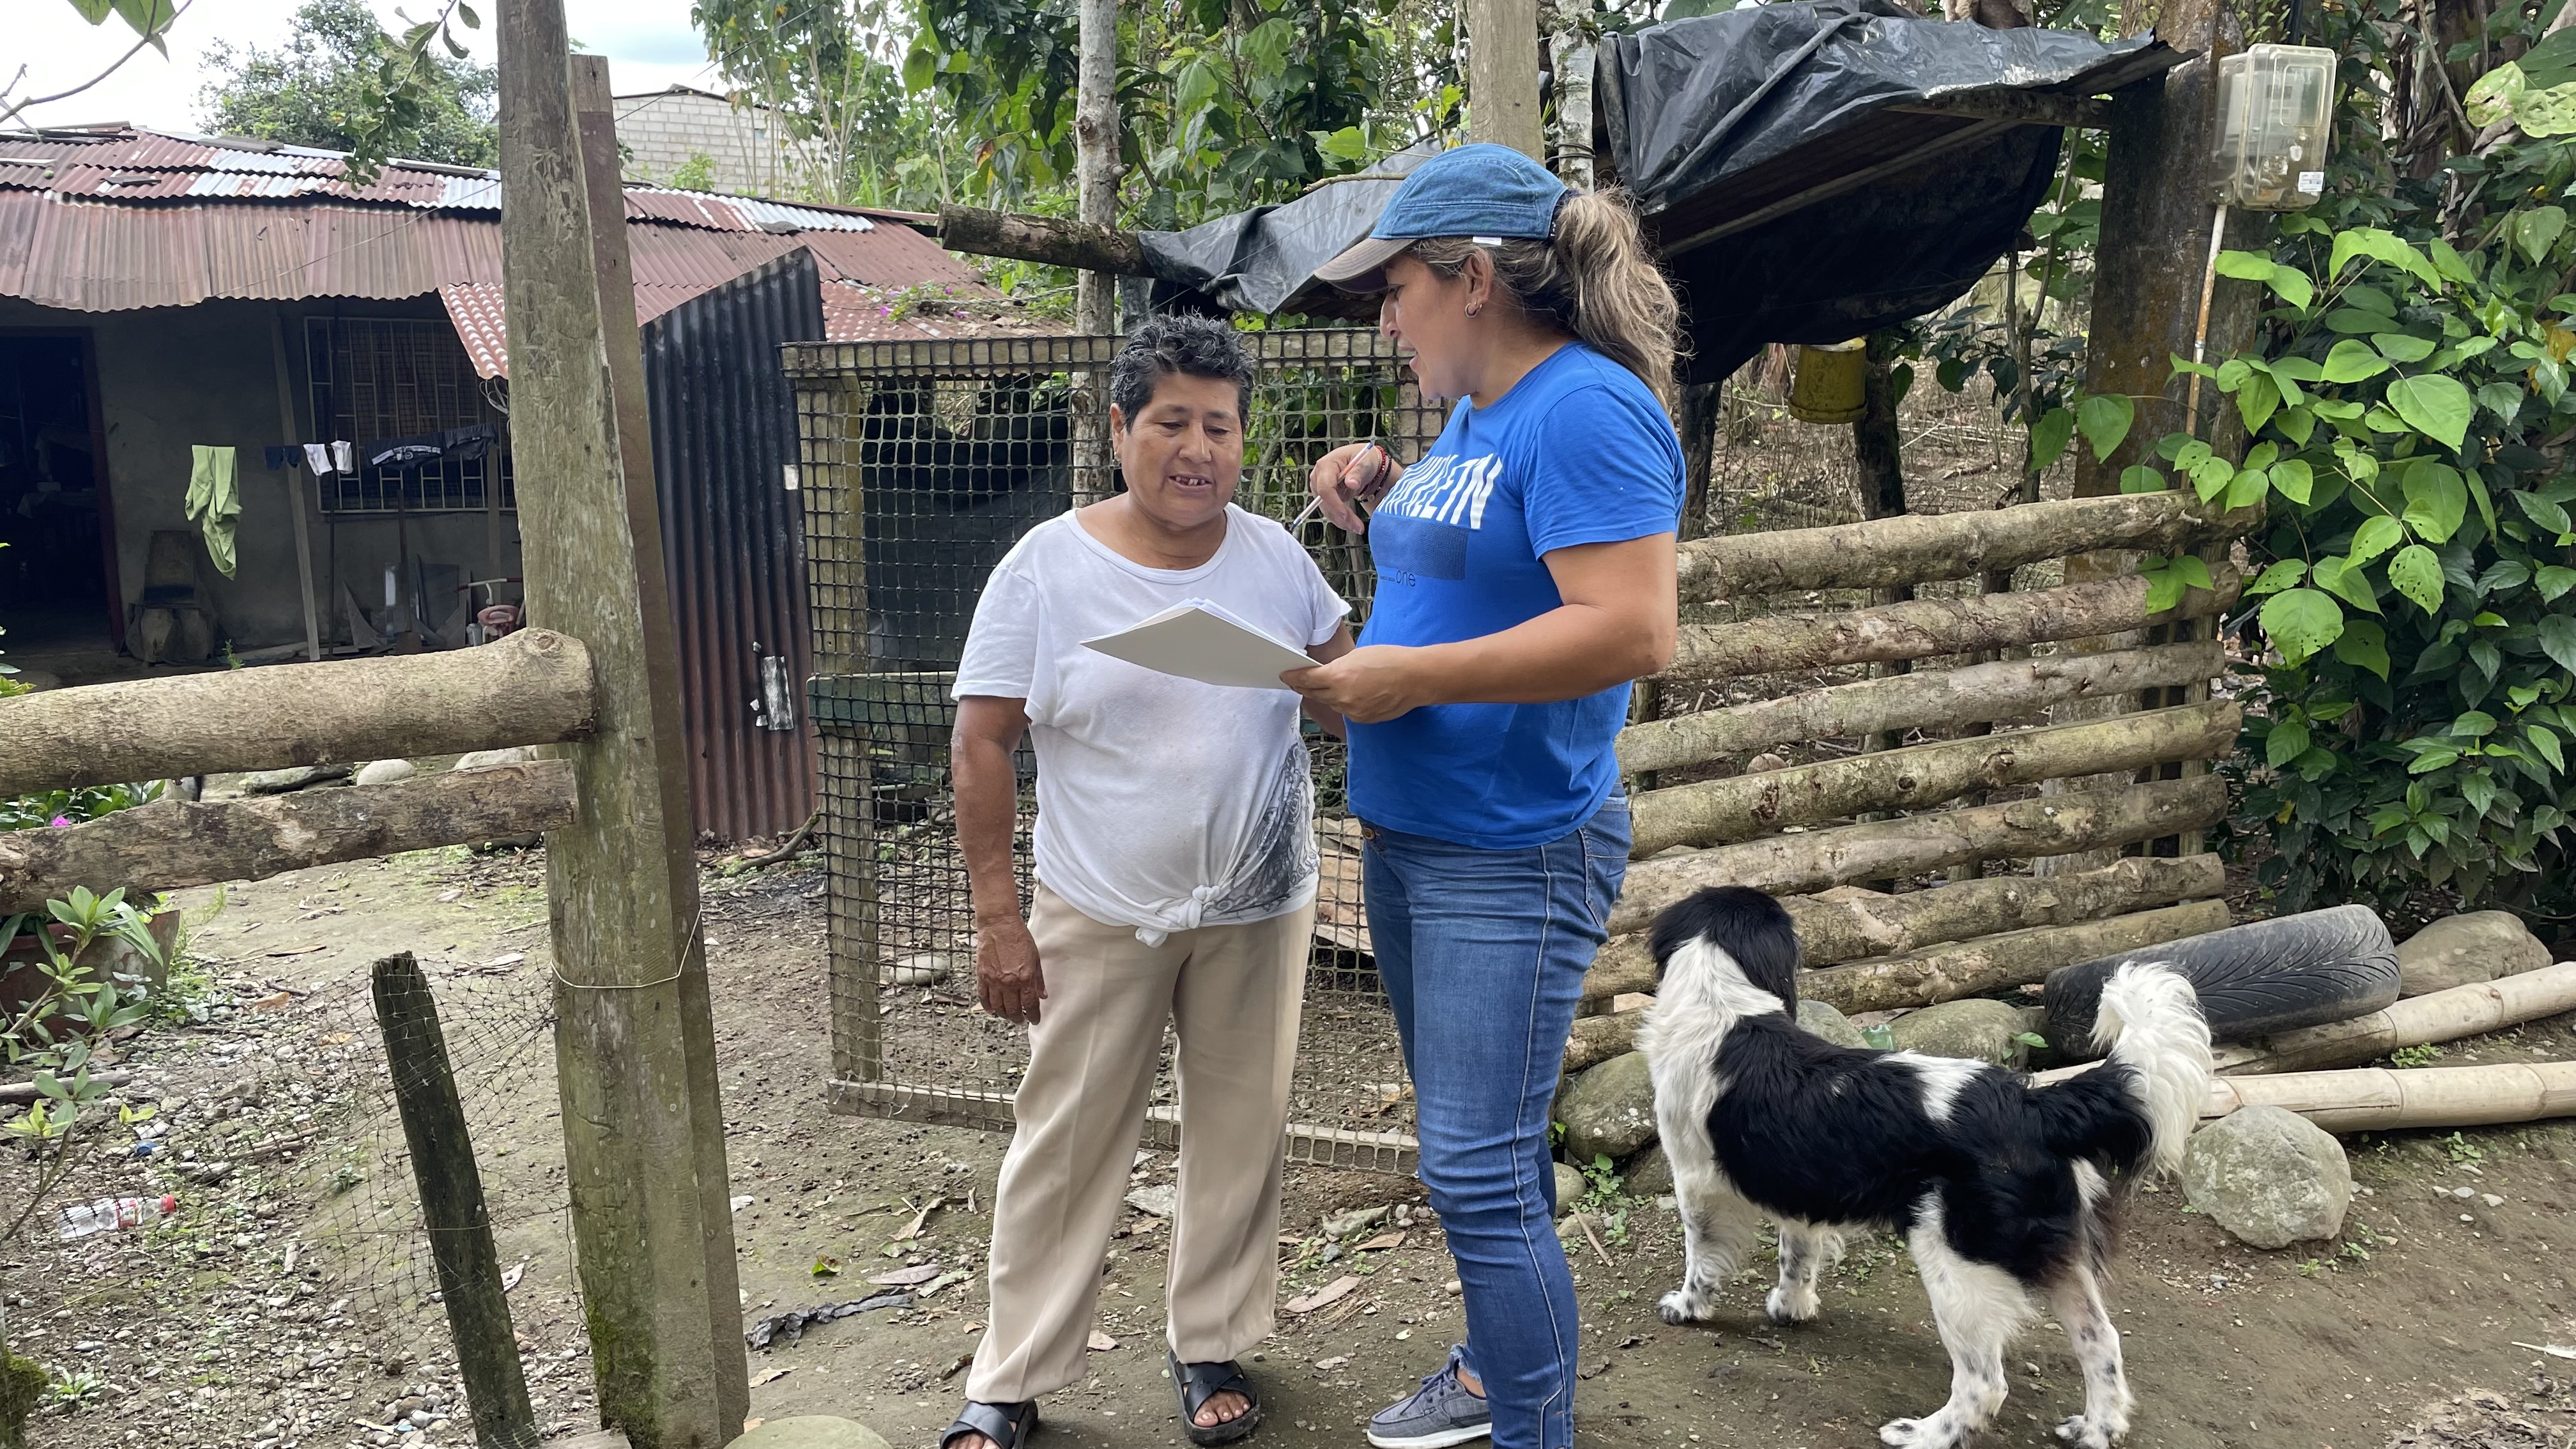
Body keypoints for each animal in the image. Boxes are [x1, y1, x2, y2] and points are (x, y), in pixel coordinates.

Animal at [1637, 886, 2211, 1449]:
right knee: (2102, 1343)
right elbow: (1796, 1256)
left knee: (1985, 1382)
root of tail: (2034, 1105)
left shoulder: (1696, 1185)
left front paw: (1687, 1309)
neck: (1722, 1004)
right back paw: (2095, 1429)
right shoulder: (1799, 1187)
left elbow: (1702, 1261)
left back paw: (1924, 1434)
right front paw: (1790, 1308)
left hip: (1957, 1265)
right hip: (2056, 1261)